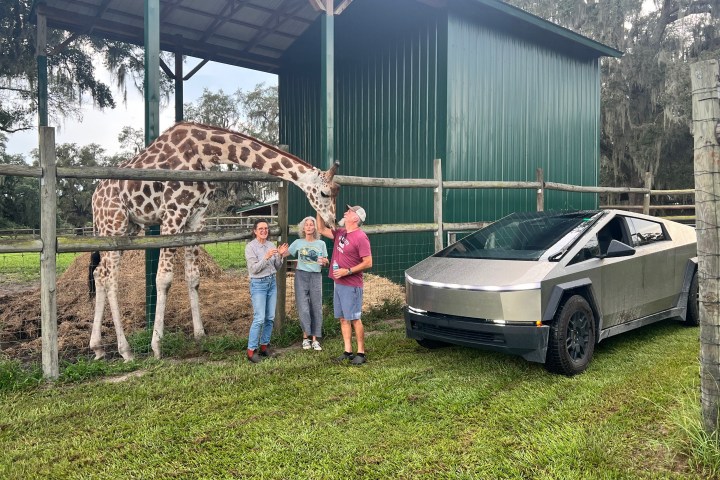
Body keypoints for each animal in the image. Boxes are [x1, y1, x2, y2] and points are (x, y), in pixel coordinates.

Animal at [88, 122, 338, 362]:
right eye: (325, 193)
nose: (332, 222)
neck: (205, 151)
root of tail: (94, 198)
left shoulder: (196, 217)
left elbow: (193, 277)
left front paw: (200, 335)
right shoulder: (173, 214)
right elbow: (163, 279)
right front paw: (157, 346)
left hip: (127, 228)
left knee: (99, 273)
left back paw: (98, 348)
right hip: (114, 224)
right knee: (110, 278)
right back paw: (125, 350)